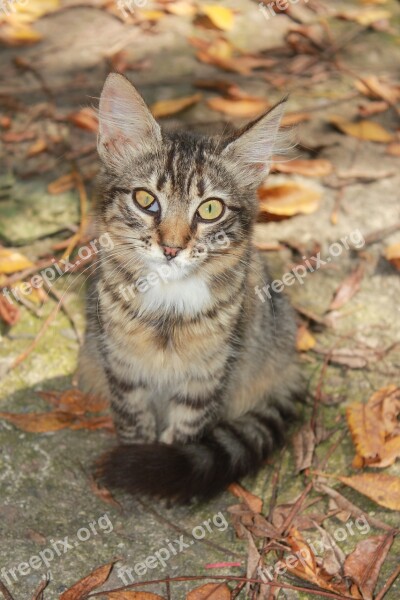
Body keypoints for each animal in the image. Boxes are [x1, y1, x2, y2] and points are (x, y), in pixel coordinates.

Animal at [79, 74, 300, 502]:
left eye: (210, 209)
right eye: (145, 200)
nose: (171, 248)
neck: (168, 301)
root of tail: (291, 370)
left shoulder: (209, 372)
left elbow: (186, 430)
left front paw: (161, 469)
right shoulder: (121, 364)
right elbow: (133, 420)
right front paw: (140, 458)